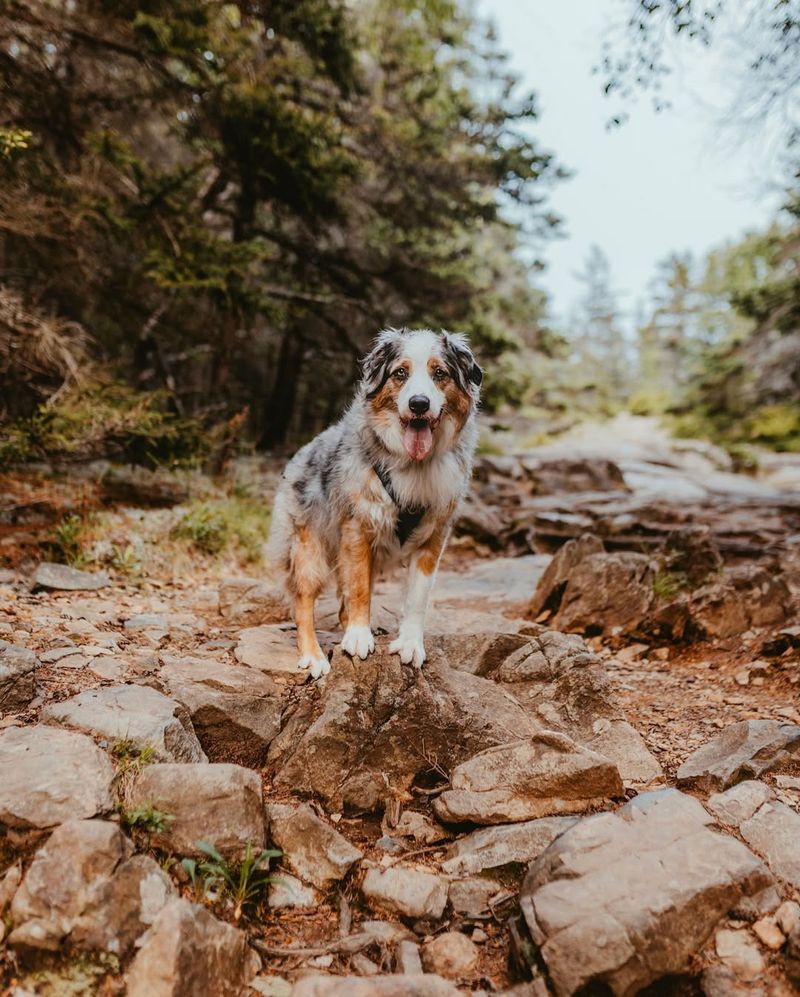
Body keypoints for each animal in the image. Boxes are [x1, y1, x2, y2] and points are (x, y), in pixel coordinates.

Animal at [268, 326, 482, 676]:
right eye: (400, 374)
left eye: (440, 373)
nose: (419, 404)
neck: (414, 466)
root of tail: (299, 453)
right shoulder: (357, 527)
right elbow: (357, 589)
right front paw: (357, 637)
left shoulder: (435, 535)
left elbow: (418, 596)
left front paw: (410, 643)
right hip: (308, 547)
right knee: (304, 601)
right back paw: (314, 655)